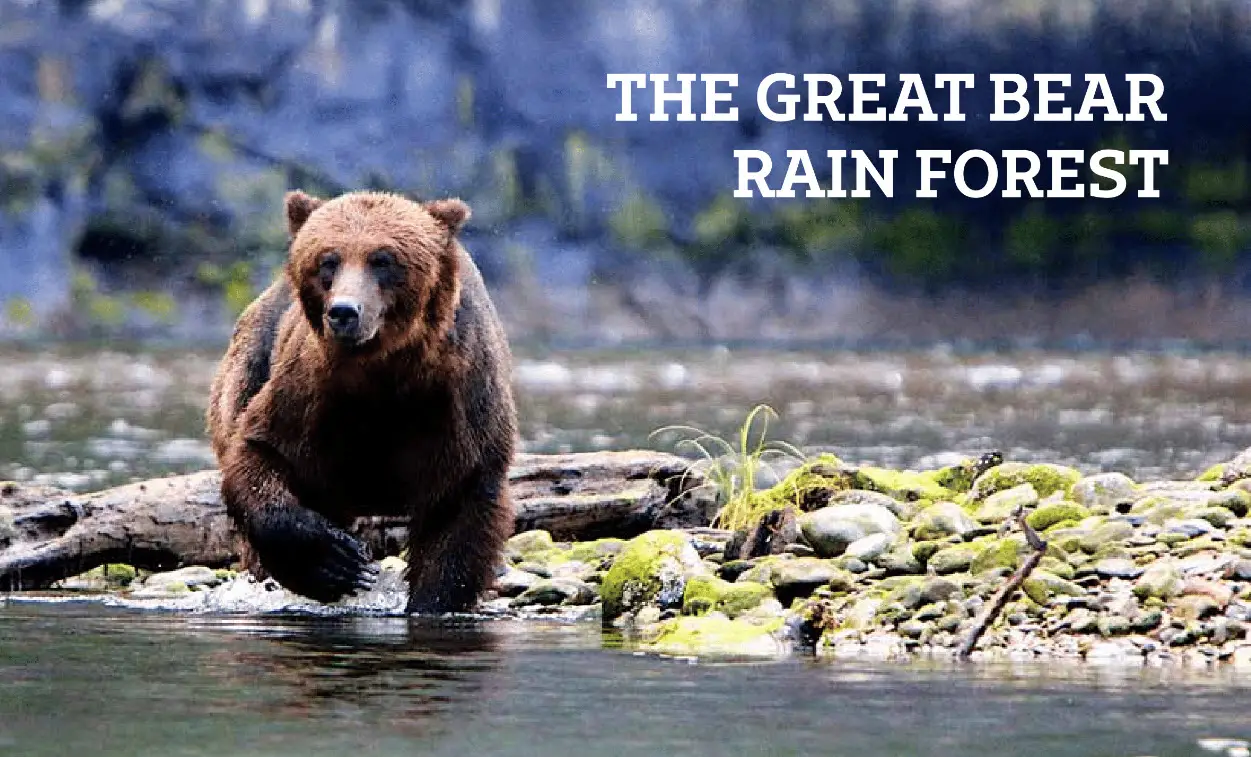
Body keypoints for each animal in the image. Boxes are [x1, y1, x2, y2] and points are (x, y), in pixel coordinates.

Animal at [206, 189, 518, 614]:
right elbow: (261, 453)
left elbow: (457, 511)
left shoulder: (457, 401)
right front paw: (333, 562)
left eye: (383, 260)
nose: (344, 312)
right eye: (328, 260)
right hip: (252, 360)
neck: (382, 371)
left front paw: (432, 600)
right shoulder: (309, 397)